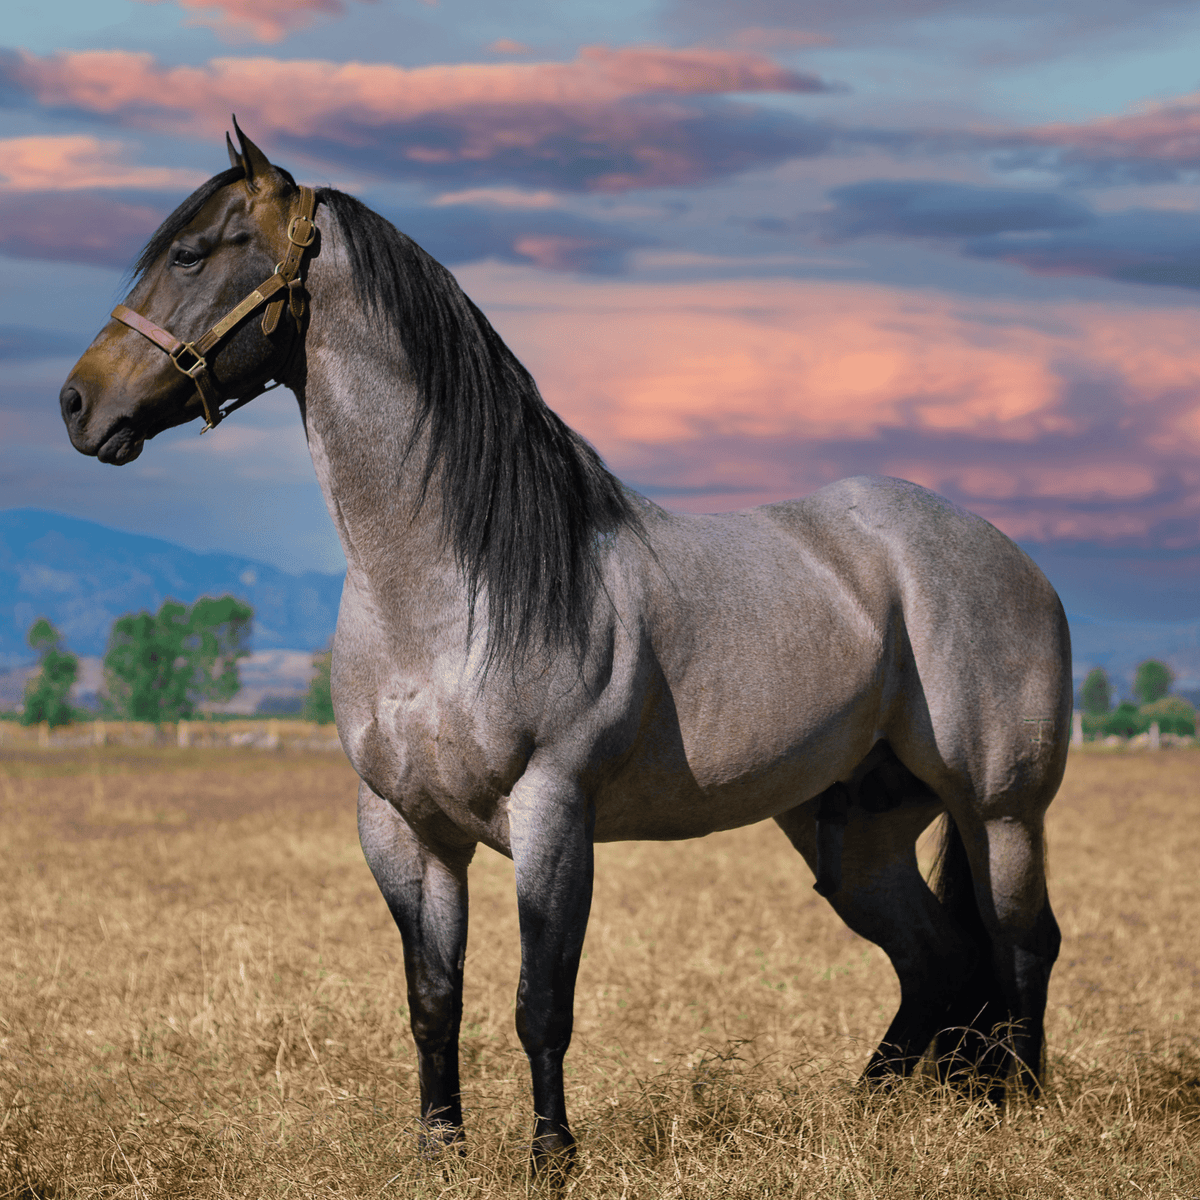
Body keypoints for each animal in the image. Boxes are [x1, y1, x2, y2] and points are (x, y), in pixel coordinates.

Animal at [59, 124, 1069, 1178]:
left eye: (189, 254)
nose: (78, 404)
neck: (445, 589)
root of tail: (1008, 557)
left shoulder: (552, 813)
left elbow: (540, 1003)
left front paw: (552, 1155)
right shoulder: (403, 828)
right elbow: (434, 1001)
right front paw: (439, 1153)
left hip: (1000, 811)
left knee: (1022, 943)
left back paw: (1020, 1113)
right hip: (852, 832)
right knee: (935, 961)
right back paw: (866, 1112)